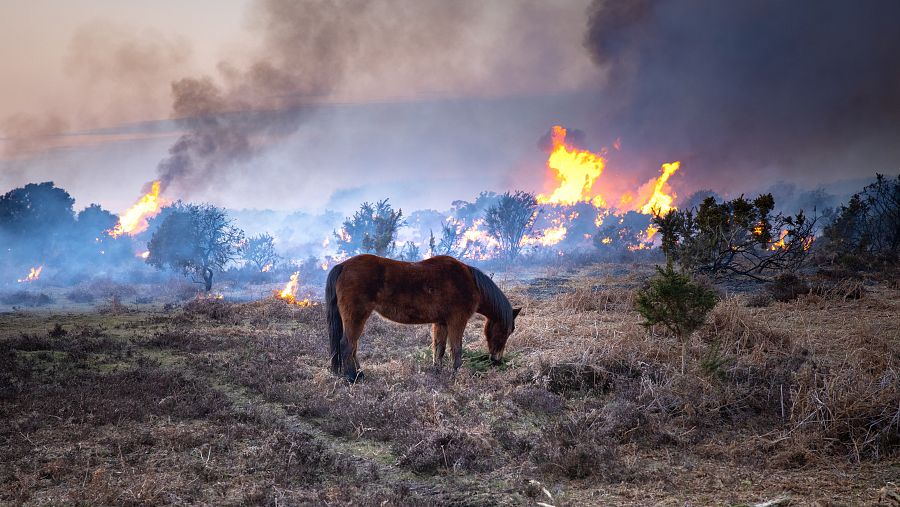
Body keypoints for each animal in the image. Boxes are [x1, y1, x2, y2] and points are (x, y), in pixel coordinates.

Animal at [326, 254, 520, 380]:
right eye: (506, 331)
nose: (497, 360)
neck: (469, 282)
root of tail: (343, 266)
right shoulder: (457, 321)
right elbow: (456, 349)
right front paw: (455, 373)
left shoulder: (441, 323)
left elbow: (439, 348)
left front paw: (437, 371)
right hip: (356, 317)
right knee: (347, 345)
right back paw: (352, 377)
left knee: (352, 347)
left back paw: (359, 374)